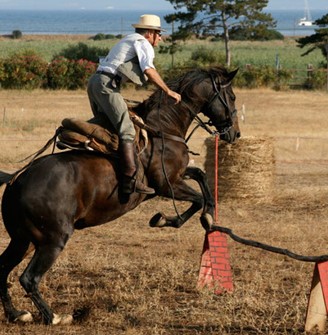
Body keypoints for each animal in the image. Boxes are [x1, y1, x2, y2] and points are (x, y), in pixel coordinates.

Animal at [0, 66, 238, 326]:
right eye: (232, 97)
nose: (235, 134)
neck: (165, 127)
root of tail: (16, 181)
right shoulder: (167, 185)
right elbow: (197, 199)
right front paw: (172, 219)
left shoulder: (178, 175)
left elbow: (202, 178)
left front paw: (206, 215)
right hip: (52, 240)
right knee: (29, 278)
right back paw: (54, 316)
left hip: (23, 240)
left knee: (2, 269)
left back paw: (16, 314)